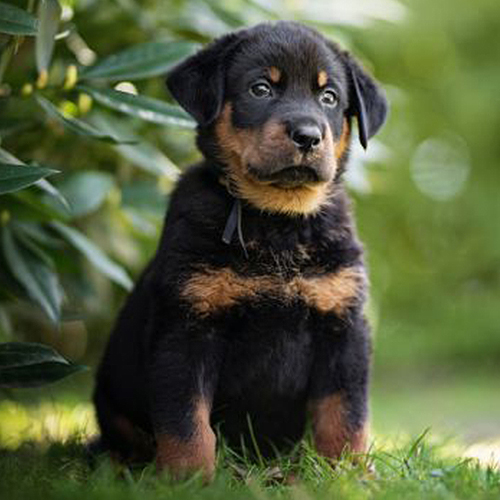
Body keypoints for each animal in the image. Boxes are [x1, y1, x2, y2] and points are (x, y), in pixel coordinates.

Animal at [94, 20, 390, 480]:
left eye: (329, 97)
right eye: (260, 89)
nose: (308, 136)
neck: (278, 222)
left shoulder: (343, 326)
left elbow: (345, 412)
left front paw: (349, 474)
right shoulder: (187, 328)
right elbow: (185, 419)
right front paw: (188, 479)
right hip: (111, 395)